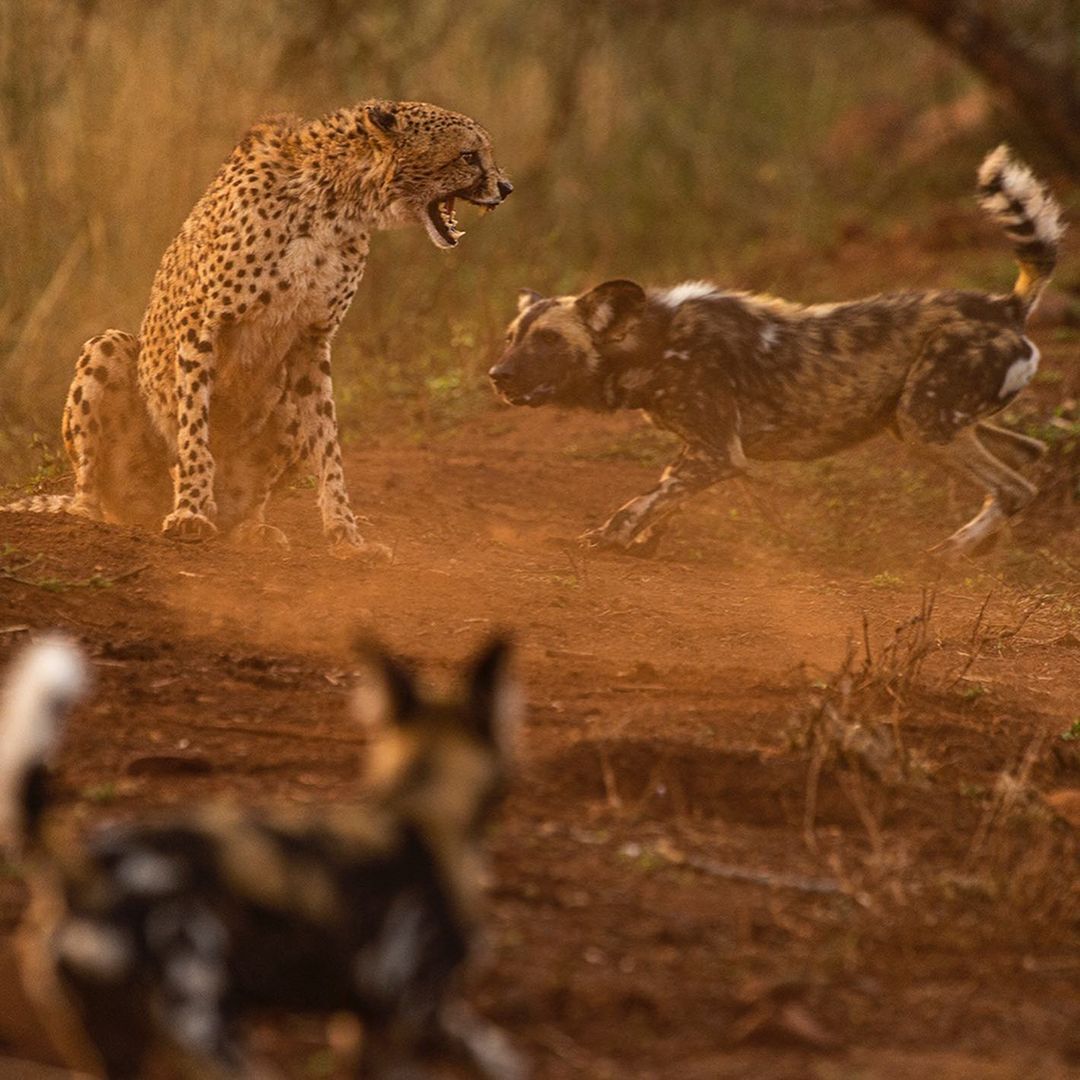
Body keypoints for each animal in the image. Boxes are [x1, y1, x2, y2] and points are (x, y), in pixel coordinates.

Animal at [0, 635, 522, 1080]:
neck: (421, 810)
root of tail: (85, 871)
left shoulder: (383, 1020)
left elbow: (490, 1050)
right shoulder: (410, 1015)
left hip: (111, 1039)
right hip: (208, 1034)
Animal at [4, 100, 511, 557]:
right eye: (468, 155)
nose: (505, 187)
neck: (338, 200)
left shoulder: (311, 341)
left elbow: (329, 446)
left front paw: (347, 536)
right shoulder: (202, 323)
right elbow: (194, 428)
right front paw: (190, 510)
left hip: (280, 395)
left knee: (251, 497)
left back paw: (251, 527)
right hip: (107, 348)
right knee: (92, 490)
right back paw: (96, 512)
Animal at [490, 144, 1062, 557]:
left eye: (549, 341)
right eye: (512, 337)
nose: (498, 375)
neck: (653, 342)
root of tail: (1006, 306)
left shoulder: (718, 453)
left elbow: (643, 500)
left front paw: (612, 538)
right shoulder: (704, 451)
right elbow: (665, 497)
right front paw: (643, 543)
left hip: (924, 422)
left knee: (1014, 488)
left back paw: (945, 556)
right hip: (923, 421)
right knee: (1027, 461)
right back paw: (979, 550)